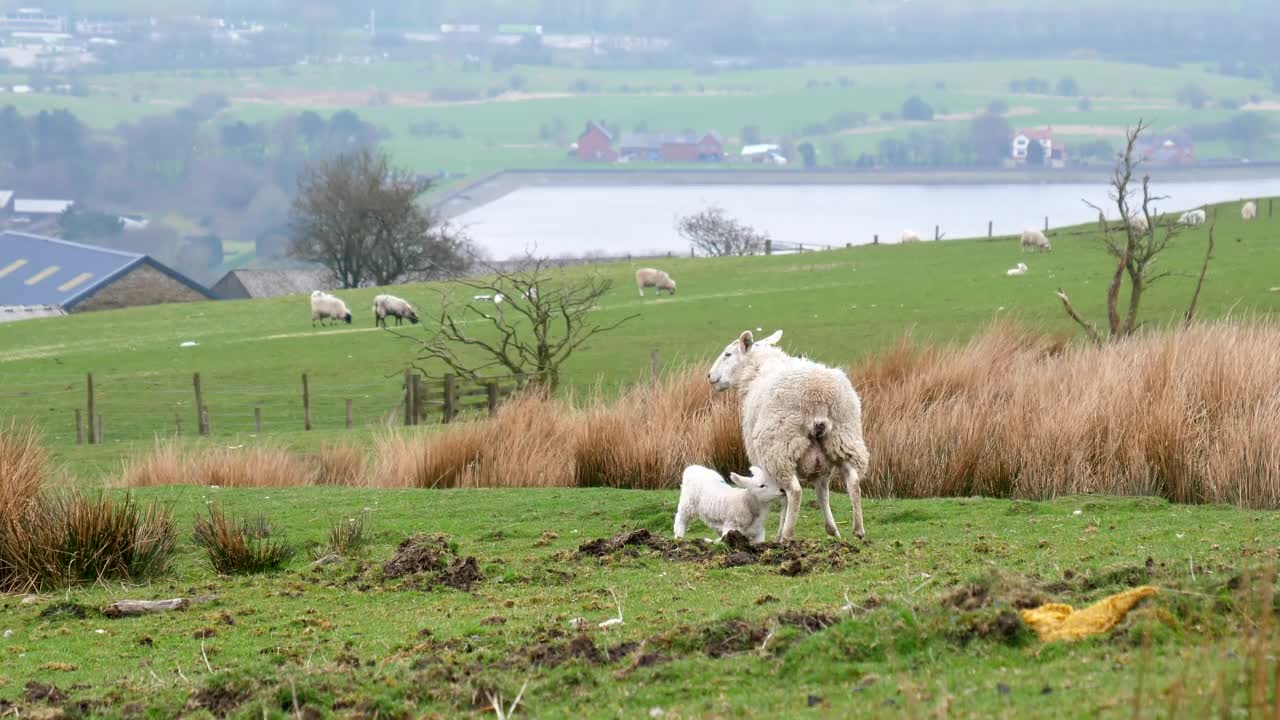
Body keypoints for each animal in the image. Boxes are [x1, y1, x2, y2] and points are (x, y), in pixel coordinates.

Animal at [706, 330, 875, 538]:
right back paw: (858, 529)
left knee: (794, 491)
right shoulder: (822, 463)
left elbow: (781, 497)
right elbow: (822, 493)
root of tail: (818, 396)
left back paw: (786, 534)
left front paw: (779, 532)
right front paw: (832, 529)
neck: (756, 371)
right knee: (852, 482)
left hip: (781, 448)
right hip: (842, 440)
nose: (710, 376)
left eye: (728, 354)